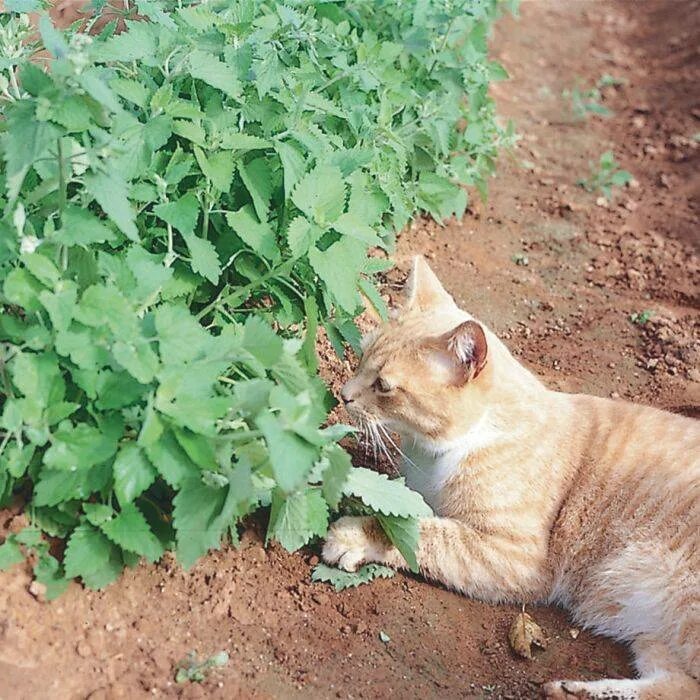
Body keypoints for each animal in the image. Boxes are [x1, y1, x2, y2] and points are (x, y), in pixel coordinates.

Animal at [324, 258, 700, 700]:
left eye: (383, 386)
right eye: (361, 356)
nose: (344, 394)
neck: (433, 453)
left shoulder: (515, 555)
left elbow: (424, 531)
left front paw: (353, 534)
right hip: (653, 636)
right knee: (676, 685)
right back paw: (574, 691)